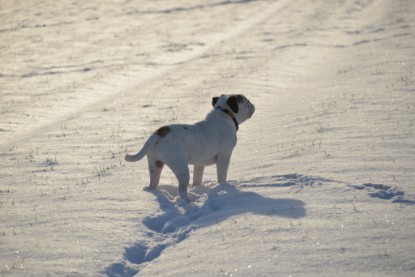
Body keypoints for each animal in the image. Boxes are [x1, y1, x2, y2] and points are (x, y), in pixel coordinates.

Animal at [125, 93, 255, 201]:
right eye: (247, 102)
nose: (253, 105)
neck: (225, 113)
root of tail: (159, 132)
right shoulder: (224, 156)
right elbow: (222, 176)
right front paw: (223, 187)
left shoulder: (200, 163)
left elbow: (197, 178)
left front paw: (197, 188)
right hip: (181, 167)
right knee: (181, 190)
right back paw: (189, 201)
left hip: (155, 164)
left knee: (153, 183)